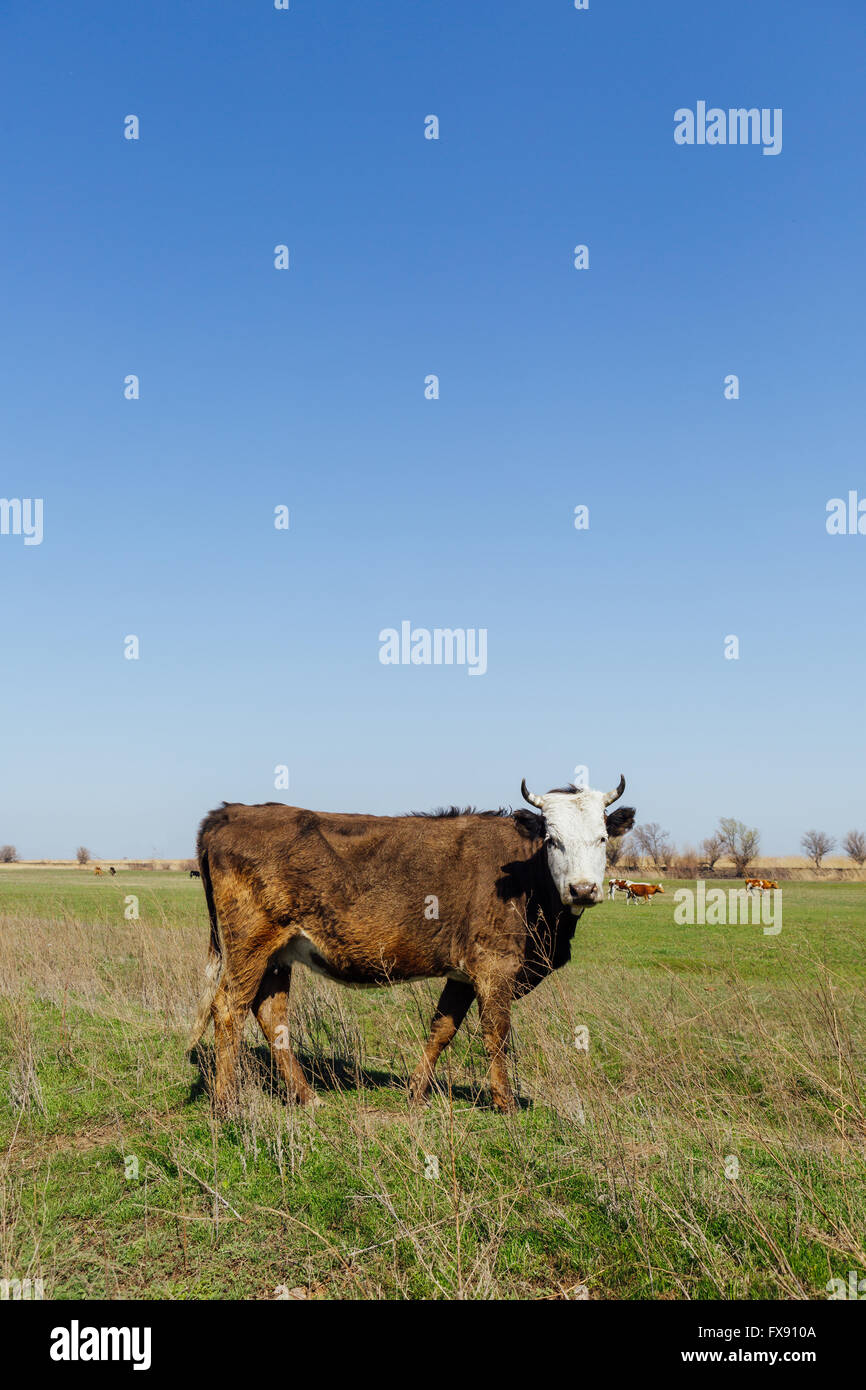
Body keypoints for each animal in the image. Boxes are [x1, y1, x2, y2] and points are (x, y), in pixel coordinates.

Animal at [187, 773, 636, 1114]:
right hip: (249, 946)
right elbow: (496, 1034)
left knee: (270, 1014)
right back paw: (226, 1104)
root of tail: (229, 811)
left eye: (601, 838)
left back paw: (306, 1096)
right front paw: (505, 1103)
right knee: (228, 1010)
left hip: (277, 953)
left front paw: (416, 1091)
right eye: (552, 840)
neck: (527, 880)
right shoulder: (495, 968)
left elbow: (442, 1028)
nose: (582, 889)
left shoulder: (463, 973)